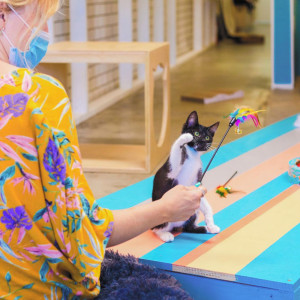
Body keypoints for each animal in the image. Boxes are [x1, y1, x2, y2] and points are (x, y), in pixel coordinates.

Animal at [152, 111, 220, 243]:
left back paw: (205, 228)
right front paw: (185, 137)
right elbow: (176, 150)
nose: (202, 141)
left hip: (193, 212)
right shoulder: (171, 170)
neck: (193, 156)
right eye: (196, 133)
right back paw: (165, 235)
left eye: (207, 137)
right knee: (156, 229)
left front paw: (211, 224)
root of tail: (175, 226)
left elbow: (205, 204)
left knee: (187, 227)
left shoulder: (196, 184)